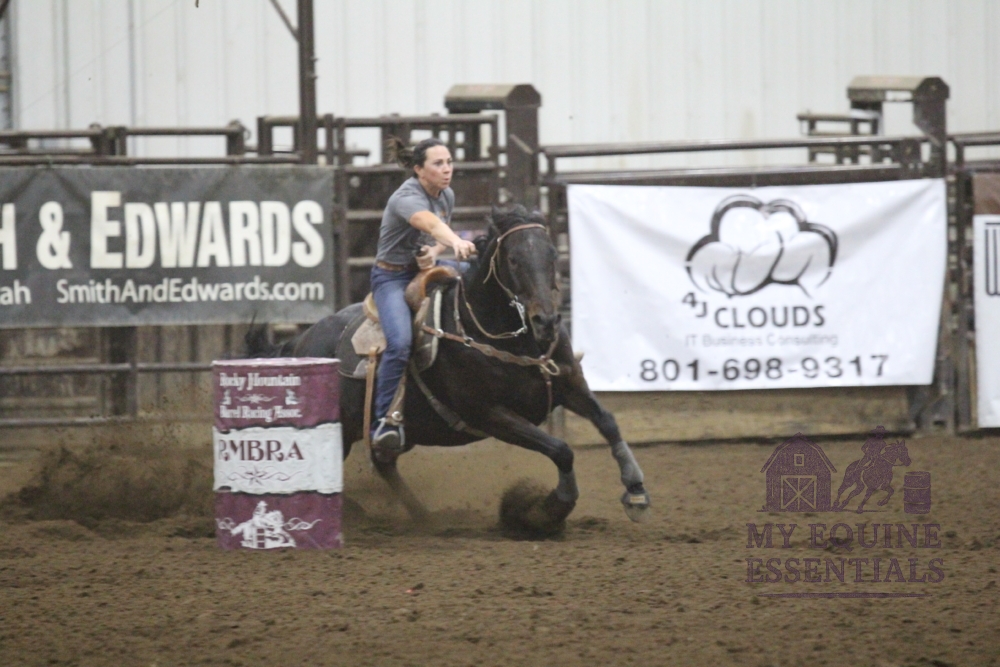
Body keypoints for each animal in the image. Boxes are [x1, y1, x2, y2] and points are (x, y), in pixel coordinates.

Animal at [245, 206, 651, 534]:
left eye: (552, 254)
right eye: (514, 260)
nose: (547, 321)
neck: (504, 337)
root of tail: (300, 343)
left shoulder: (569, 383)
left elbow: (608, 421)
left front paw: (635, 489)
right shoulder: (489, 414)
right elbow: (561, 449)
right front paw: (548, 509)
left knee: (383, 460)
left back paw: (425, 518)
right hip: (336, 430)